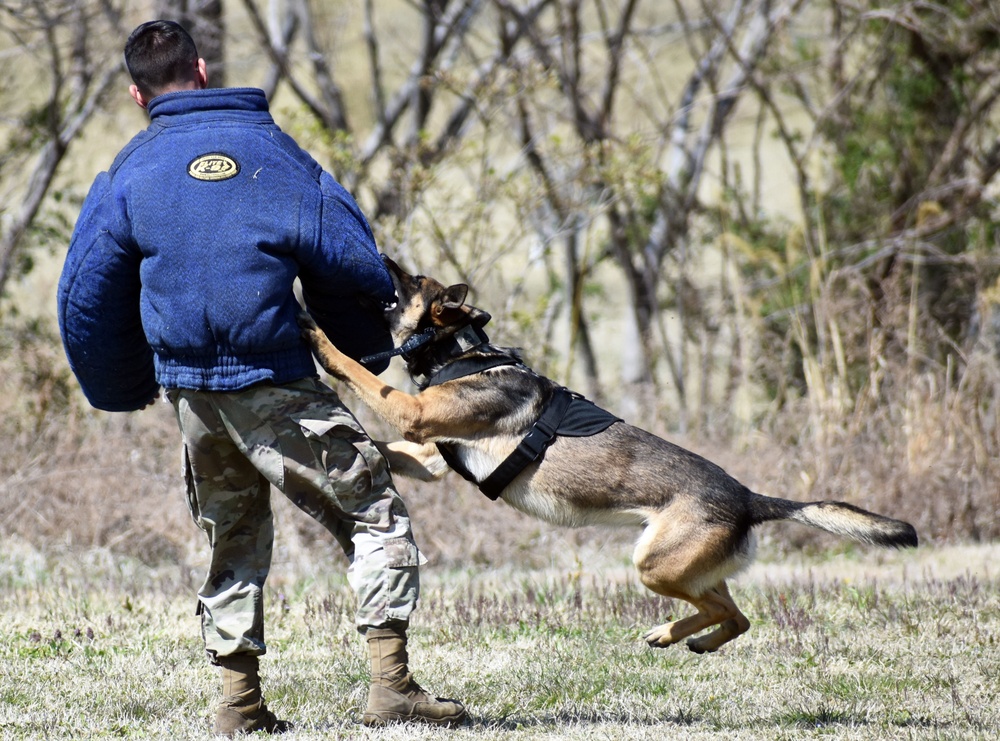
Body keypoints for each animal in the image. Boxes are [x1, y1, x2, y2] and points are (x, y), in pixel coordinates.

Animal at [298, 258, 920, 652]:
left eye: (410, 280)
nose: (382, 253)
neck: (460, 354)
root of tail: (750, 498)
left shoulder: (413, 413)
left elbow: (356, 373)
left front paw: (314, 334)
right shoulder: (427, 454)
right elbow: (386, 445)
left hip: (654, 564)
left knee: (725, 611)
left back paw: (675, 634)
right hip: (685, 567)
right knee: (737, 616)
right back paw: (686, 639)